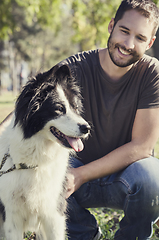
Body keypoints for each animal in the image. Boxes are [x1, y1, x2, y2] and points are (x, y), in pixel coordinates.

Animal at [0, 64, 90, 240]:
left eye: (76, 108)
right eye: (59, 109)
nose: (87, 128)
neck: (34, 161)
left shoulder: (54, 213)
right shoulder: (11, 217)